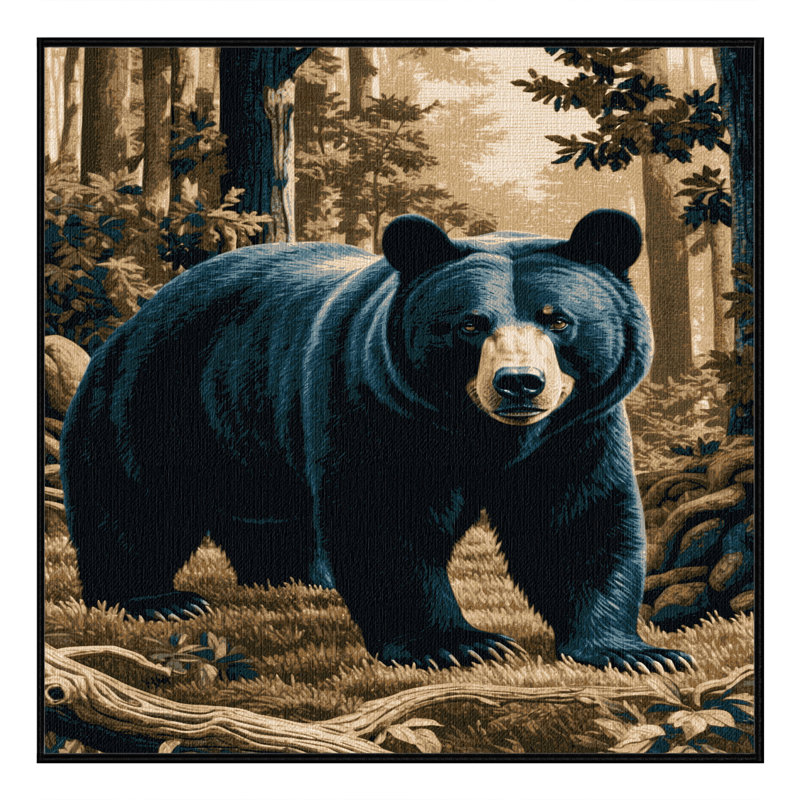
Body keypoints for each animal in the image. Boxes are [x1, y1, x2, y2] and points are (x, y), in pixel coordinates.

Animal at [60, 209, 694, 673]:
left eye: (558, 319)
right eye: (470, 324)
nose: (519, 383)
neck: (482, 434)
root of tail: (140, 310)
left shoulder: (575, 428)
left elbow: (578, 520)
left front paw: (635, 652)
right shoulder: (373, 403)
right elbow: (385, 520)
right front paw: (458, 643)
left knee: (271, 513)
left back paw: (299, 577)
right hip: (159, 399)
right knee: (137, 503)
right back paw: (156, 598)